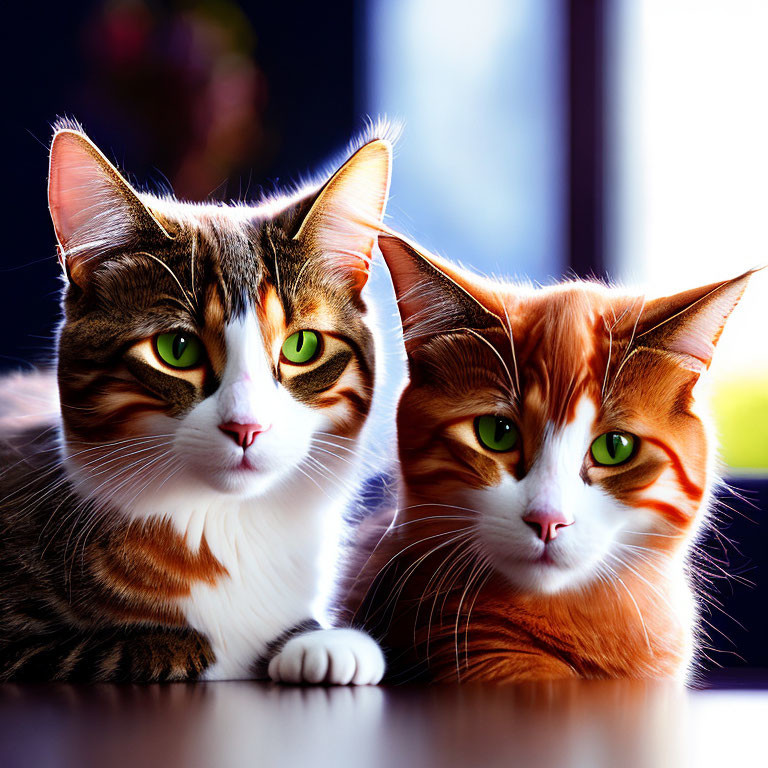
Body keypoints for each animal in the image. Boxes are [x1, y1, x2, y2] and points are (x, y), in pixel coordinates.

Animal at [0, 120, 392, 684]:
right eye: (176, 348)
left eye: (301, 346)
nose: (246, 427)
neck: (221, 523)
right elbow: (117, 650)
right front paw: (190, 644)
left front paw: (321, 641)